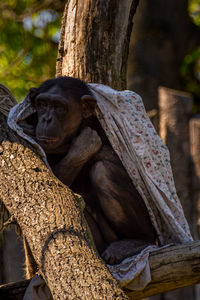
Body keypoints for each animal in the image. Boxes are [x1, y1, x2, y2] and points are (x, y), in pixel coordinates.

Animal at [19, 76, 156, 264]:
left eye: (59, 107)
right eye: (43, 104)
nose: (47, 118)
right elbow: (48, 185)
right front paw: (82, 147)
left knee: (103, 172)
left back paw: (135, 242)